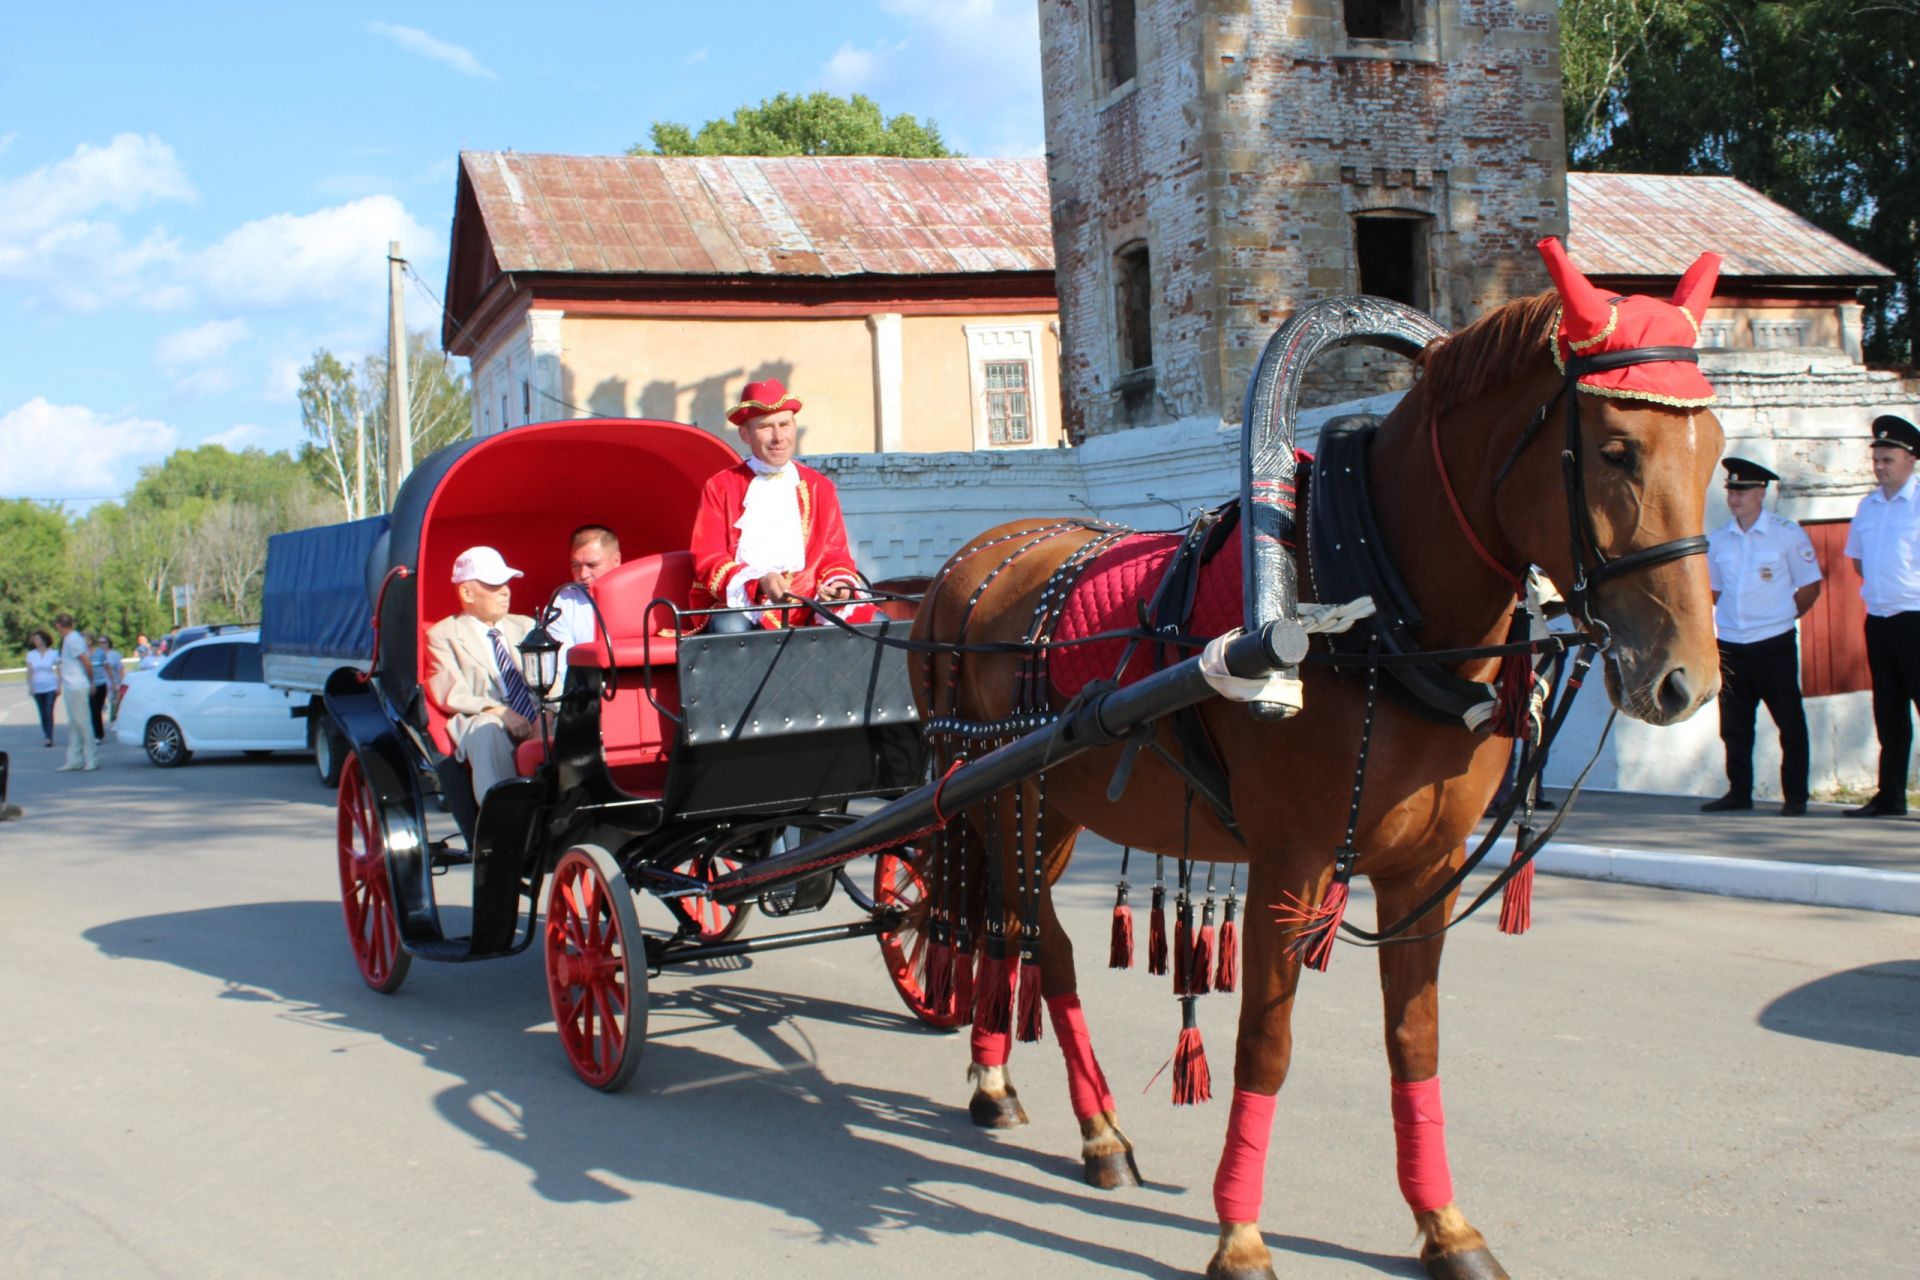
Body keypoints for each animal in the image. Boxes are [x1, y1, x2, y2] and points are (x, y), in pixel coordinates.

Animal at [906, 262, 1720, 1280]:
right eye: (1615, 451)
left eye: (1716, 452)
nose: (1685, 679)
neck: (1376, 607)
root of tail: (964, 565)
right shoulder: (1288, 866)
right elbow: (1266, 1044)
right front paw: (1240, 1234)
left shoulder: (1424, 872)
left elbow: (1415, 1042)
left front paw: (1444, 1223)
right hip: (1007, 800)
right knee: (1039, 942)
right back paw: (1097, 1130)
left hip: (1041, 810)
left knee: (1012, 926)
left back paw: (998, 1081)